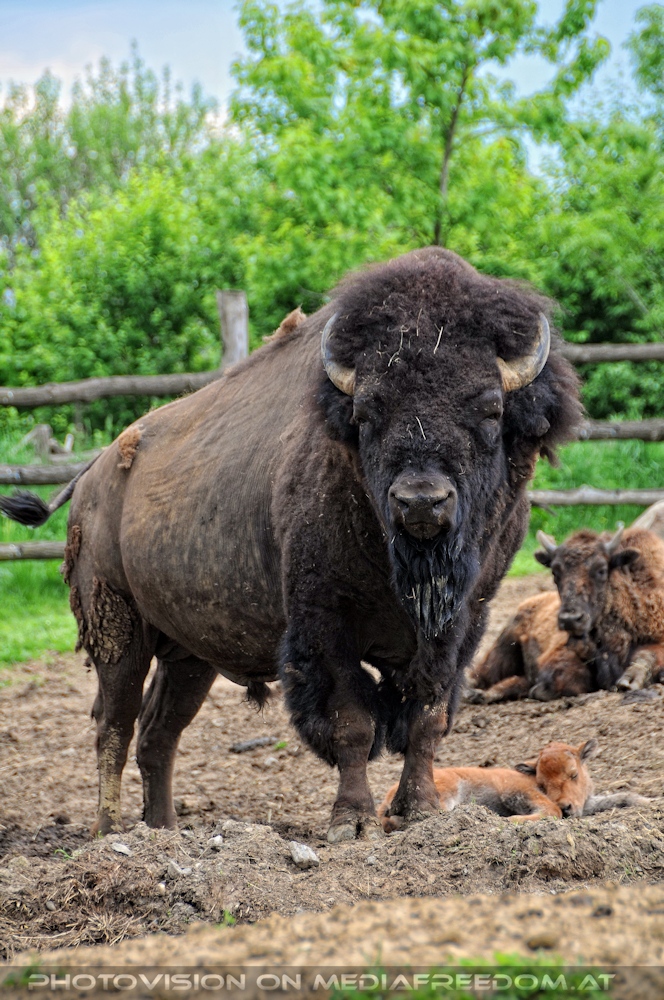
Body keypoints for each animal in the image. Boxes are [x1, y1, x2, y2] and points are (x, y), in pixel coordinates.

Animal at [0, 247, 580, 841]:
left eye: (489, 409)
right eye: (366, 412)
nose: (421, 501)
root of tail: (91, 474)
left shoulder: (458, 625)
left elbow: (427, 715)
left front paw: (417, 812)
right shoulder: (327, 625)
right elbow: (354, 724)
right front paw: (352, 822)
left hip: (188, 655)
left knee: (159, 732)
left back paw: (163, 828)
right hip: (119, 633)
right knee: (113, 723)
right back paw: (112, 831)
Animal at [379, 739, 648, 829]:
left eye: (573, 774)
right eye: (542, 782)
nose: (568, 806)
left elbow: (618, 797)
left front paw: (645, 800)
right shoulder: (517, 791)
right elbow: (551, 810)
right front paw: (512, 820)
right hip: (447, 796)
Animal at [468, 523, 664, 702]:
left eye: (601, 570)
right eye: (555, 572)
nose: (570, 619)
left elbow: (648, 655)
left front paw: (629, 681)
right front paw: (540, 688)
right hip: (505, 645)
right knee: (482, 675)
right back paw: (473, 693)